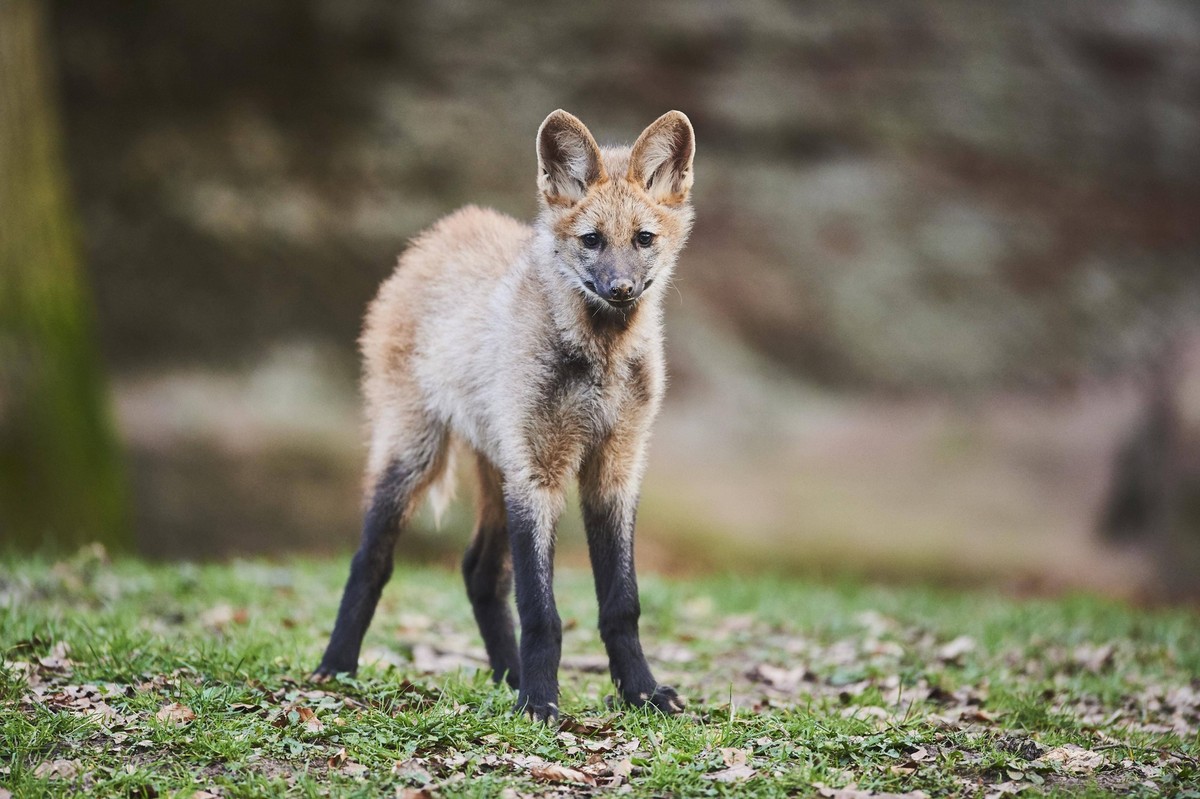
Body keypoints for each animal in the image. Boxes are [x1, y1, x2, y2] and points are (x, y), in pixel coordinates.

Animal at [313, 109, 696, 721]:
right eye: (591, 240)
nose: (621, 289)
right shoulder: (537, 476)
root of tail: (443, 230)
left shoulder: (614, 469)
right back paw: (337, 667)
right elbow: (542, 612)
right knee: (369, 559)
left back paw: (507, 675)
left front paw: (640, 692)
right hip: (416, 456)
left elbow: (622, 606)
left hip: (496, 466)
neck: (598, 360)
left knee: (479, 572)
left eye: (643, 238)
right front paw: (539, 702)